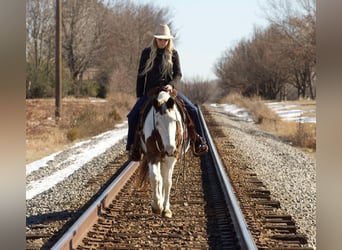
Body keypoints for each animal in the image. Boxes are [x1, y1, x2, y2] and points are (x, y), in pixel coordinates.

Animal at [136, 89, 190, 218]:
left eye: (175, 121)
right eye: (158, 123)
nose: (170, 149)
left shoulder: (171, 158)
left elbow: (167, 181)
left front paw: (166, 209)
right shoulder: (152, 155)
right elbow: (155, 178)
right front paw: (157, 206)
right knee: (159, 176)